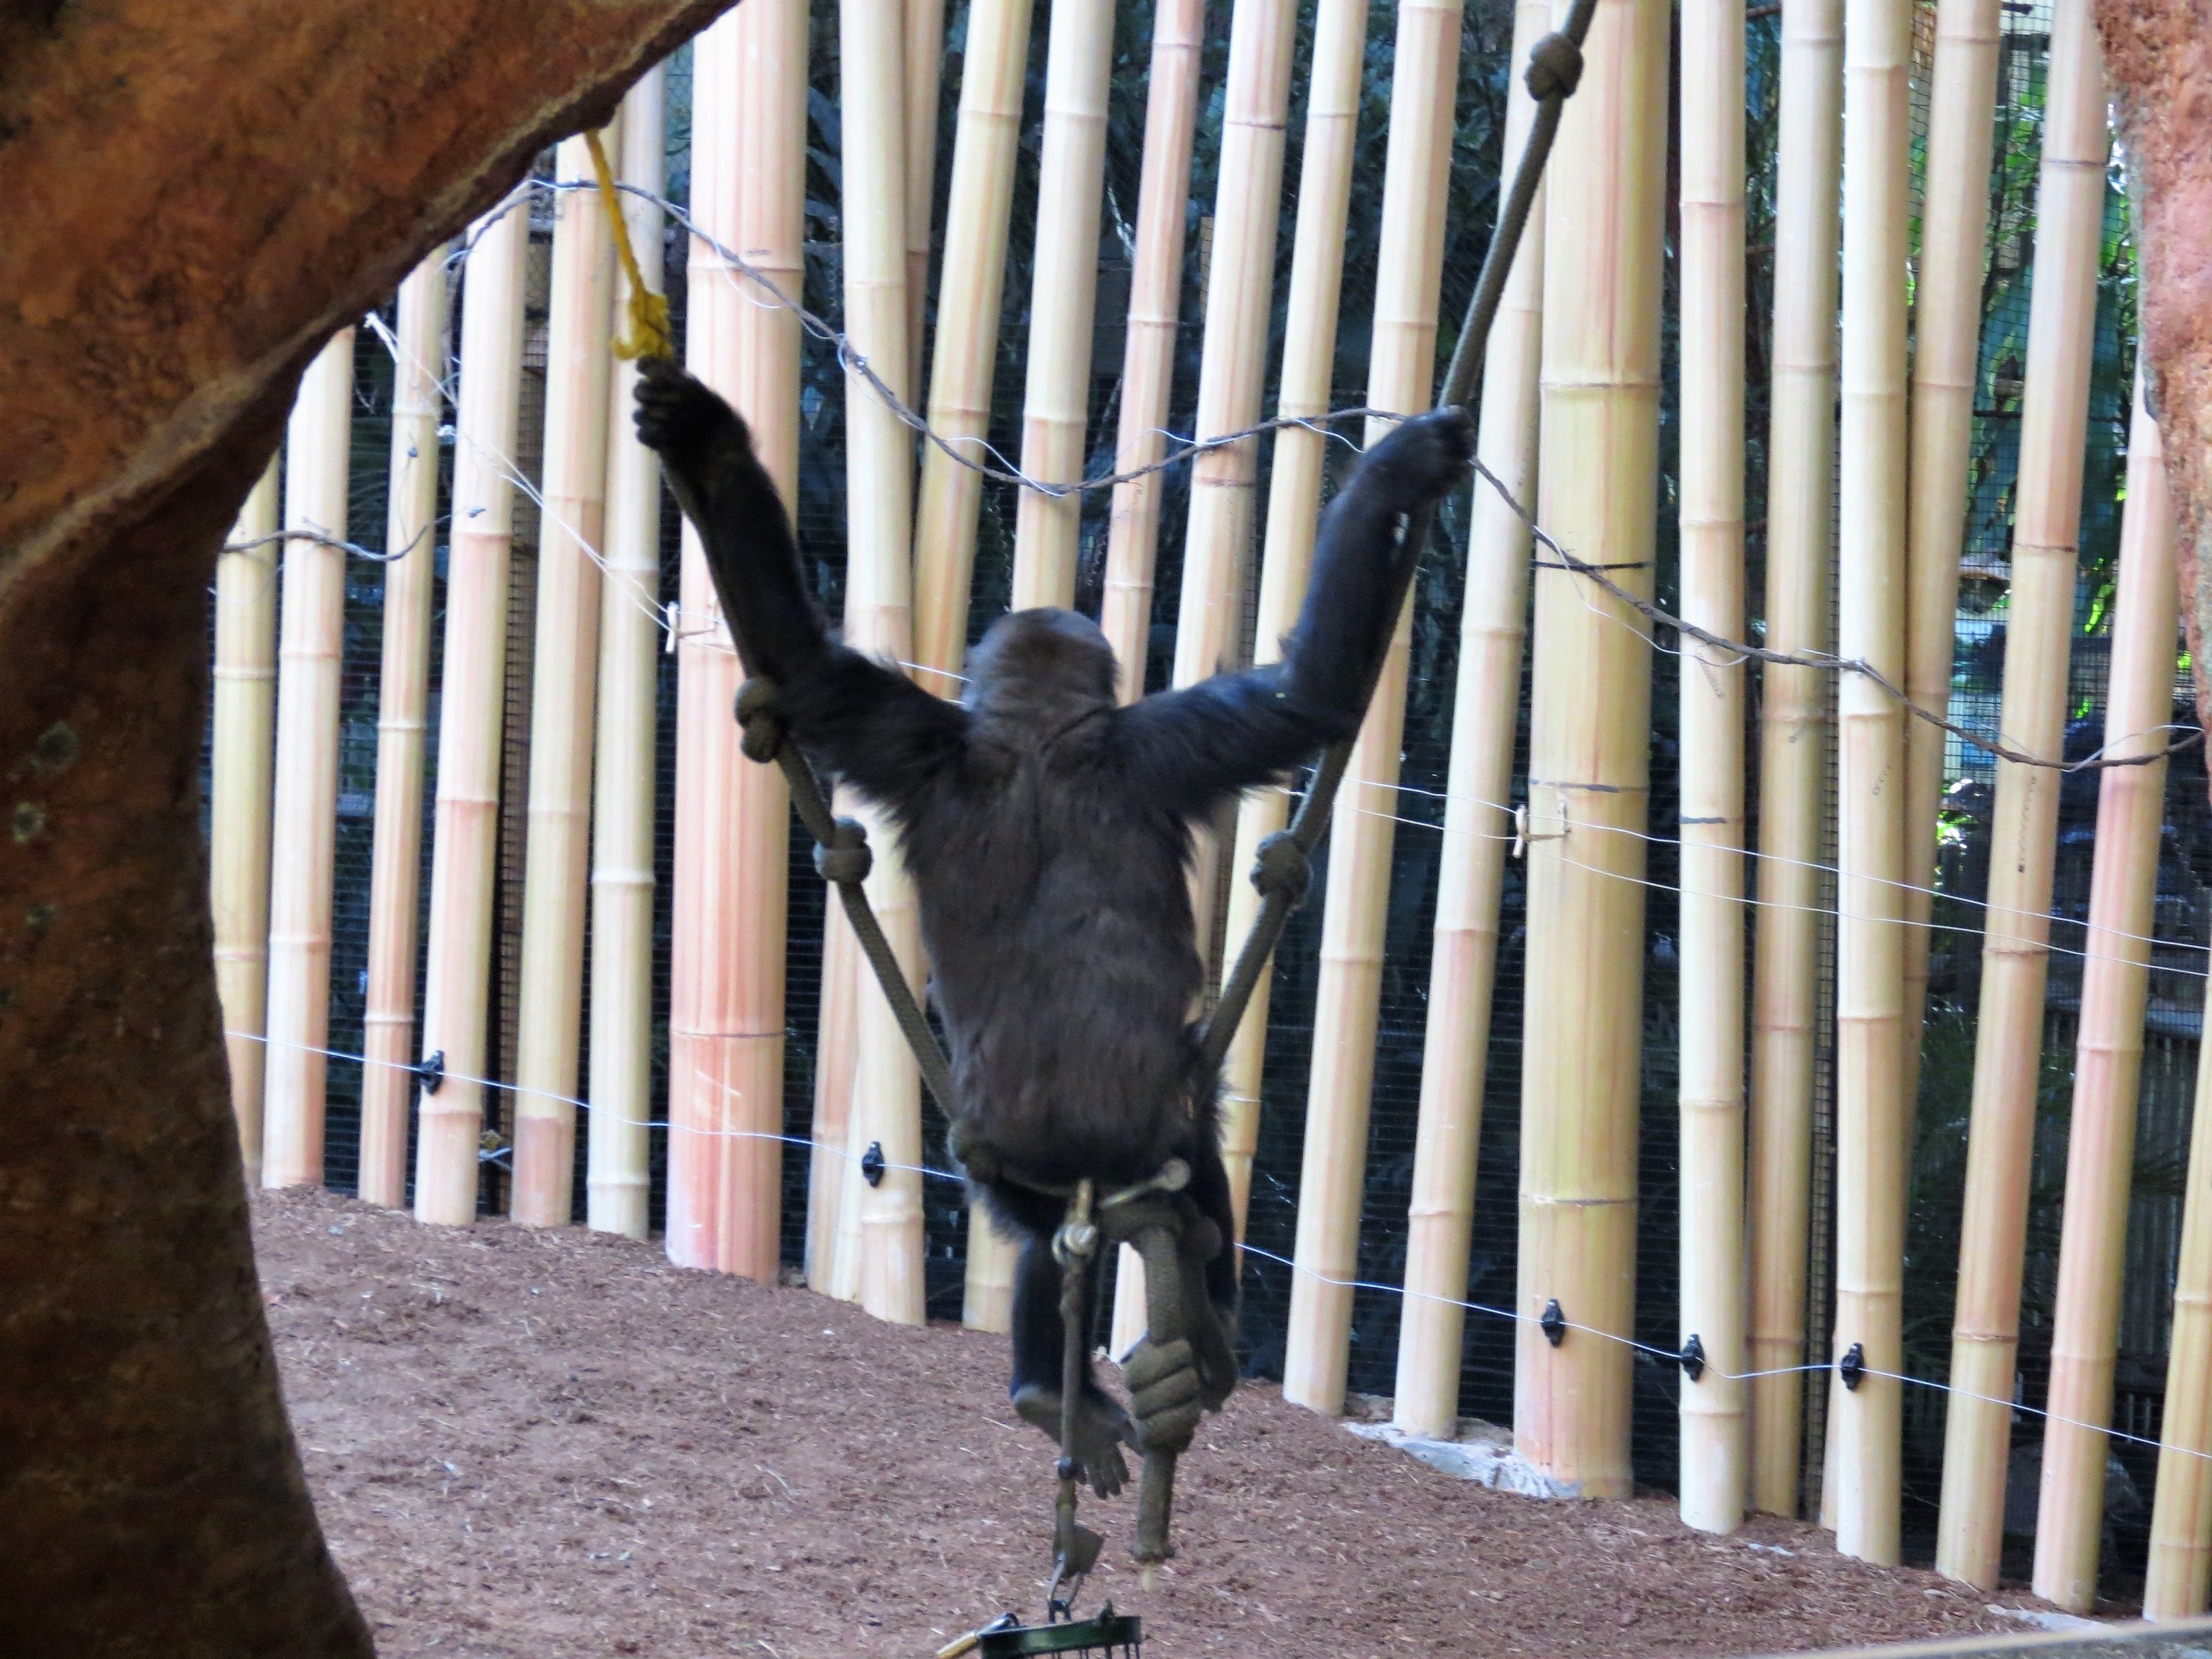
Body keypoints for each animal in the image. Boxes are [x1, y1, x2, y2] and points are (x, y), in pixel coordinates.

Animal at [634, 357, 1473, 1497]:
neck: (1033, 739)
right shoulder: (1144, 738)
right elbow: (1310, 693)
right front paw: (1403, 469)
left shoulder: (938, 739)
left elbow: (802, 661)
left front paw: (703, 434)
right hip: (1117, 1154)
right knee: (1188, 1182)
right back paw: (1168, 1348)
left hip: (1027, 1166)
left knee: (1082, 1227)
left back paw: (1059, 1385)